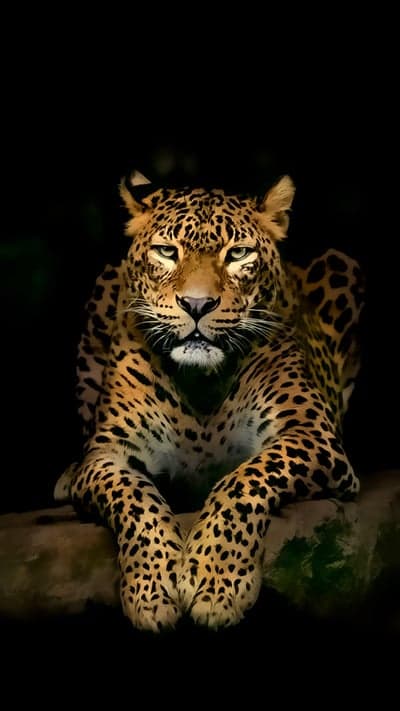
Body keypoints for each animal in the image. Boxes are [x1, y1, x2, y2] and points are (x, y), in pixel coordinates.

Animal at [54, 170, 364, 632]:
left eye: (238, 254)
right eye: (167, 252)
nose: (197, 304)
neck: (200, 383)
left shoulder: (311, 434)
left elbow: (243, 481)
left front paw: (216, 584)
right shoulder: (108, 454)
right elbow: (135, 499)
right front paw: (152, 589)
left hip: (343, 265)